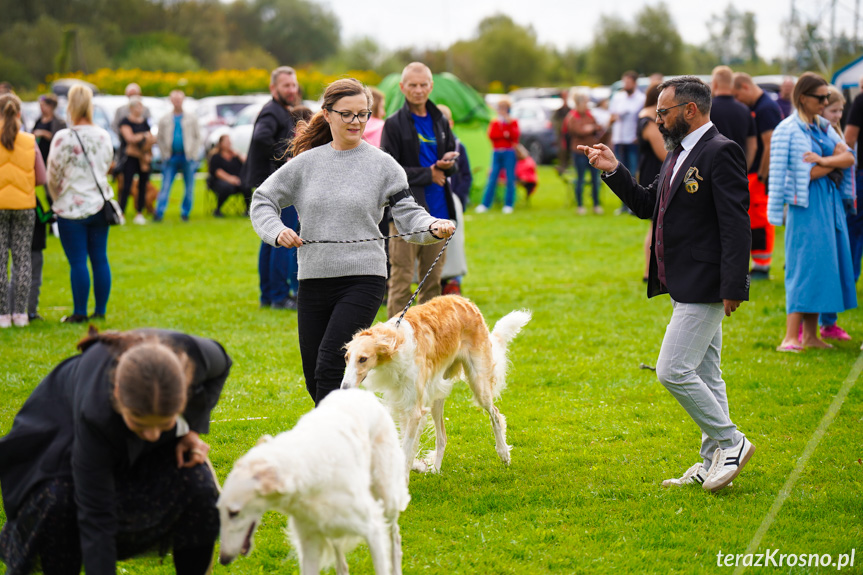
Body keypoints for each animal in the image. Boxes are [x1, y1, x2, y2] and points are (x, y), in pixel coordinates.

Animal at [218, 388, 410, 575]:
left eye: (233, 513)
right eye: (219, 510)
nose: (223, 560)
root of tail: (357, 392)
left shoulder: (372, 528)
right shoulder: (309, 540)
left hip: (387, 497)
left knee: (395, 537)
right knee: (342, 561)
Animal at [340, 294, 528, 480]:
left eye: (363, 359)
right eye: (346, 357)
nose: (344, 387)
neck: (395, 341)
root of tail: (465, 300)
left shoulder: (415, 410)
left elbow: (406, 450)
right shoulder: (401, 402)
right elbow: (405, 449)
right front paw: (419, 466)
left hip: (479, 384)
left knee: (495, 414)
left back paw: (504, 453)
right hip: (436, 394)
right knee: (442, 437)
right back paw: (435, 469)